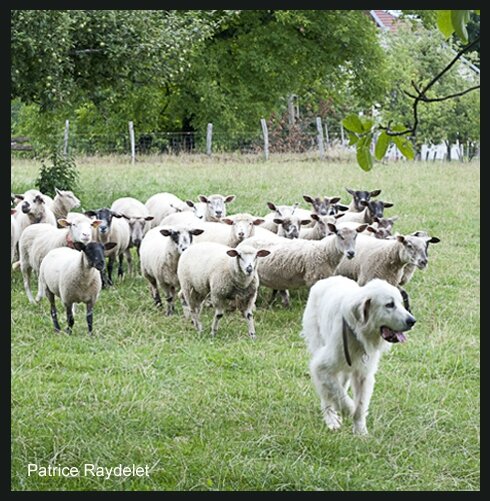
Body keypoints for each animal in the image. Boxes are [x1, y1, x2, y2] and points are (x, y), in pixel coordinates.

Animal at [237, 223, 368, 304]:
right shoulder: (313, 277)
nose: (351, 253)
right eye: (340, 236)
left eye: (355, 236)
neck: (326, 251)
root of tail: (243, 243)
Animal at [300, 274, 416, 434]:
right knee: (326, 393)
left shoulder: (364, 375)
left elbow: (360, 405)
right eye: (389, 305)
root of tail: (325, 280)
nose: (412, 321)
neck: (358, 334)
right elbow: (339, 394)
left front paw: (360, 432)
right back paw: (331, 419)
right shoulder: (320, 366)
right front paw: (347, 410)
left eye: (401, 303)